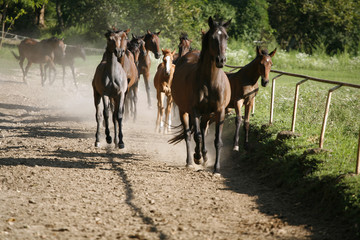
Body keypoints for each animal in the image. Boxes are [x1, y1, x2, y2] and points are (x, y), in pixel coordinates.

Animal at [169, 16, 231, 174]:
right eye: (213, 37)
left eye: (226, 36)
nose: (221, 60)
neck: (210, 82)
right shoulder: (195, 110)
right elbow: (196, 136)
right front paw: (196, 157)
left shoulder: (219, 111)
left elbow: (217, 140)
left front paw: (216, 169)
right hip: (184, 110)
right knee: (188, 134)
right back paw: (191, 161)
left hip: (207, 114)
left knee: (203, 129)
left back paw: (205, 156)